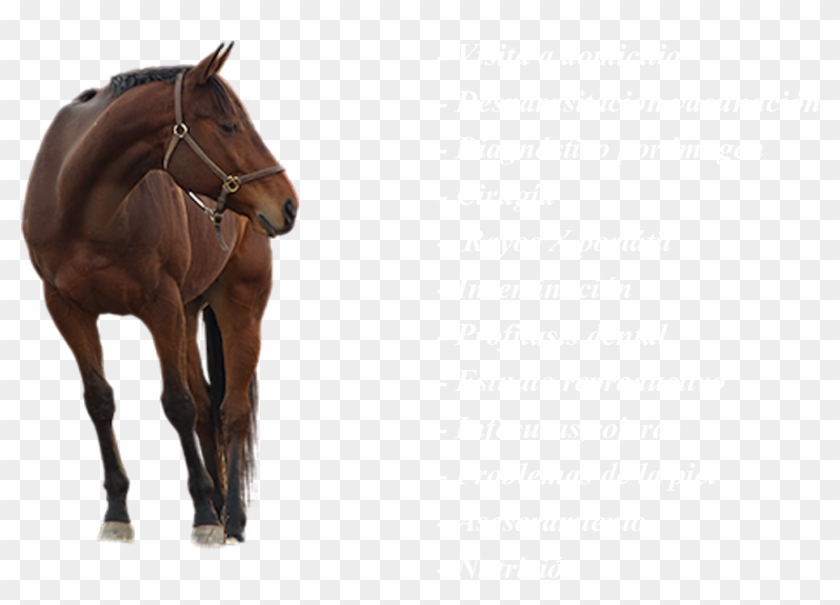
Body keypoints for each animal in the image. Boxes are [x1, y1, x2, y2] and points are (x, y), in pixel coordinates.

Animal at [21, 43, 298, 546]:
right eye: (228, 125)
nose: (288, 204)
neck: (84, 208)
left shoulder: (160, 307)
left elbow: (178, 405)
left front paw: (203, 516)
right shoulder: (68, 310)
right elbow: (100, 402)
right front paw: (117, 512)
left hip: (239, 310)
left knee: (232, 410)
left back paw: (230, 517)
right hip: (187, 316)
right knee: (209, 405)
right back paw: (221, 508)